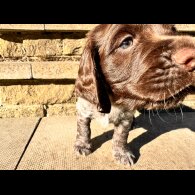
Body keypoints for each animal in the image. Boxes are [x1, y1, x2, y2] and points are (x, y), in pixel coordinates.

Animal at [74, 23, 195, 165]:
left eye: (173, 31)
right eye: (126, 42)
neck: (114, 100)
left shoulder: (125, 117)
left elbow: (120, 136)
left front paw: (122, 153)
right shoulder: (83, 109)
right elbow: (83, 129)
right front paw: (82, 145)